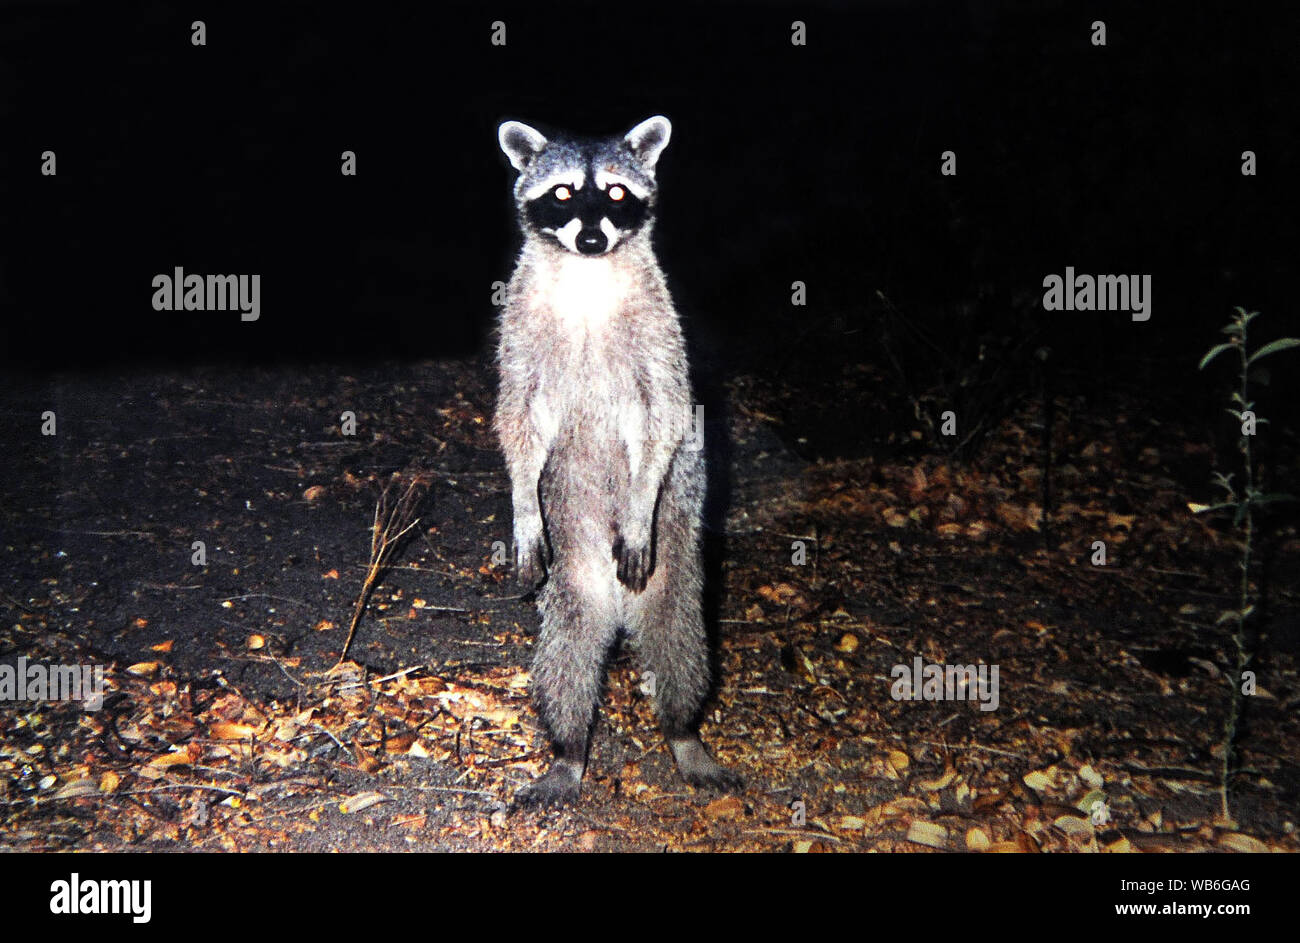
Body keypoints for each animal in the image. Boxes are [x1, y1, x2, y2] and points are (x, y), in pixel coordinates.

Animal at [493, 115, 743, 811]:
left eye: (614, 193)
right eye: (561, 194)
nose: (591, 236)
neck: (587, 272)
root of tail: (617, 606)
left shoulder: (660, 326)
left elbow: (665, 413)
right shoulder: (520, 324)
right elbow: (517, 417)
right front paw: (520, 503)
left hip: (673, 550)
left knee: (678, 638)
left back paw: (684, 731)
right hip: (571, 552)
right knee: (567, 650)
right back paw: (569, 747)